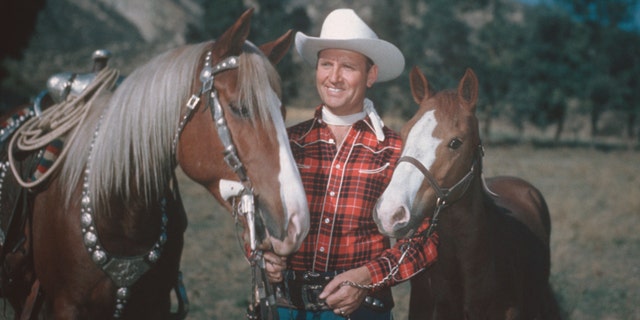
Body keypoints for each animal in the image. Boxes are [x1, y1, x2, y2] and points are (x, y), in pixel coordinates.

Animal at [0, 8, 310, 318]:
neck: (118, 209)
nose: (297, 221)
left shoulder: (155, 304)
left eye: (282, 111)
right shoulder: (67, 305)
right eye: (240, 108)